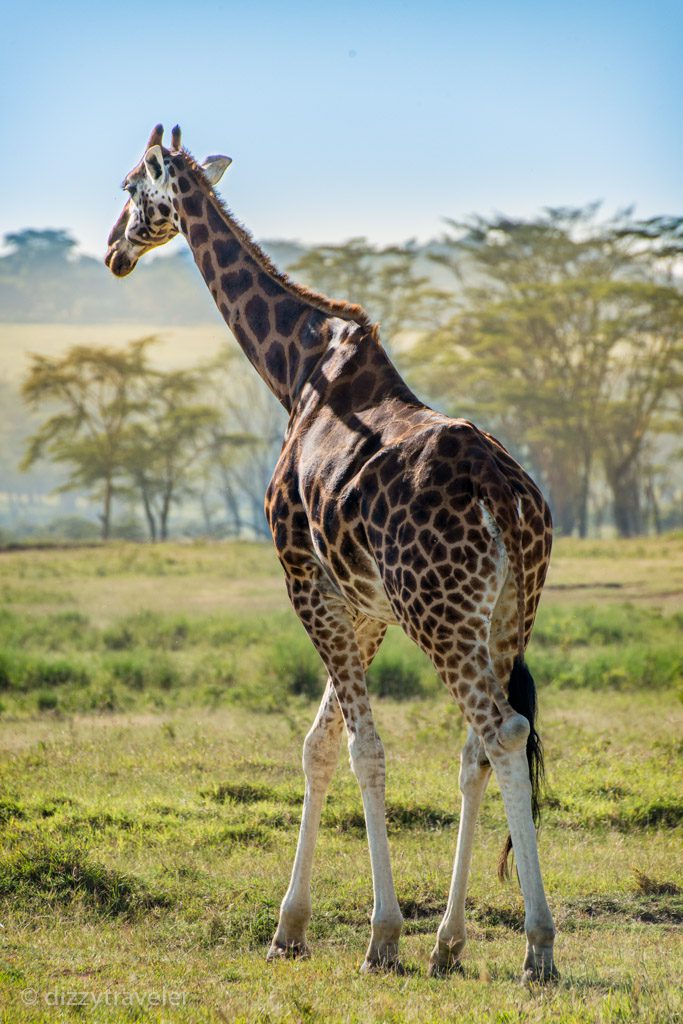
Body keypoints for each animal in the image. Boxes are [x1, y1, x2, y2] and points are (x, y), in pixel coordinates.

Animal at [105, 124, 557, 981]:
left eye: (128, 188)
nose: (114, 251)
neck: (294, 370)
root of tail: (508, 501)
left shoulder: (302, 577)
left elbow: (361, 750)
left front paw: (380, 936)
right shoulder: (363, 603)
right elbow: (317, 745)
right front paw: (291, 926)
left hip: (440, 614)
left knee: (502, 732)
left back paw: (538, 947)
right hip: (503, 616)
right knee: (478, 746)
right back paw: (451, 942)